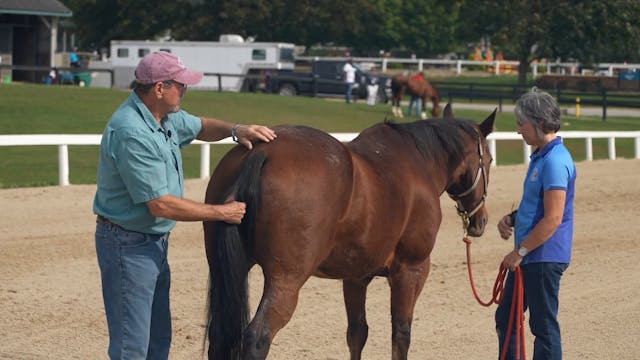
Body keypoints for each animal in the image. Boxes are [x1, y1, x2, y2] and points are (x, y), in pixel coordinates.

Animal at [205, 102, 496, 358]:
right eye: (490, 159)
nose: (481, 220)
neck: (418, 161)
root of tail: (262, 153)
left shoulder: (355, 276)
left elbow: (357, 332)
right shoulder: (411, 271)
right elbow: (401, 334)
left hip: (223, 271)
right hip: (286, 280)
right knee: (258, 337)